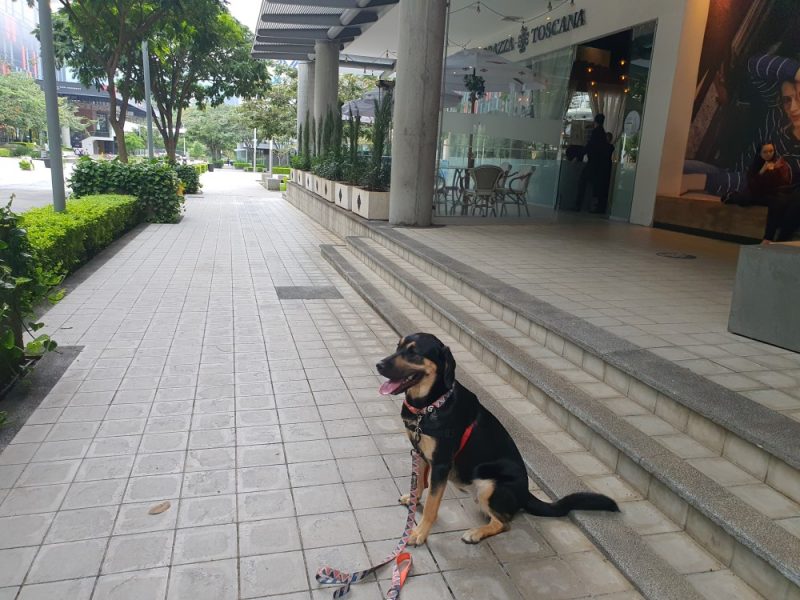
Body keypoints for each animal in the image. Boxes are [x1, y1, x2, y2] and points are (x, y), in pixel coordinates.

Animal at [376, 336, 620, 548]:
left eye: (414, 352)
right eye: (398, 346)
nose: (378, 365)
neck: (430, 406)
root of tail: (525, 494)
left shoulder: (441, 464)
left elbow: (431, 506)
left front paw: (419, 533)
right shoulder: (419, 452)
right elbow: (418, 483)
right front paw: (413, 500)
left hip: (489, 485)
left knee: (504, 523)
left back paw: (476, 533)